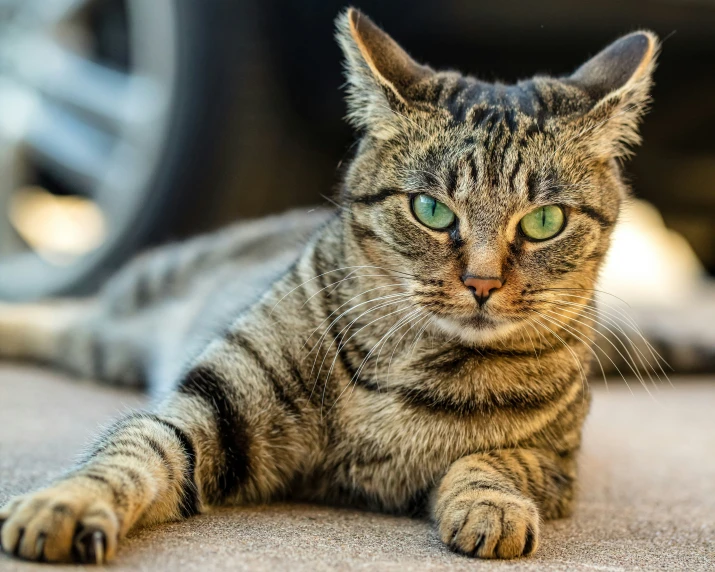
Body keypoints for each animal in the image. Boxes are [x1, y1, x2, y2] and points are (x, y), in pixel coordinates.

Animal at [0, 7, 660, 564]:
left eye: (544, 221)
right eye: (431, 210)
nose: (482, 283)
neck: (412, 363)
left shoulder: (557, 462)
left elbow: (496, 461)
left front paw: (491, 506)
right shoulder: (214, 404)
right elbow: (137, 448)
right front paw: (67, 503)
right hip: (130, 312)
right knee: (67, 313)